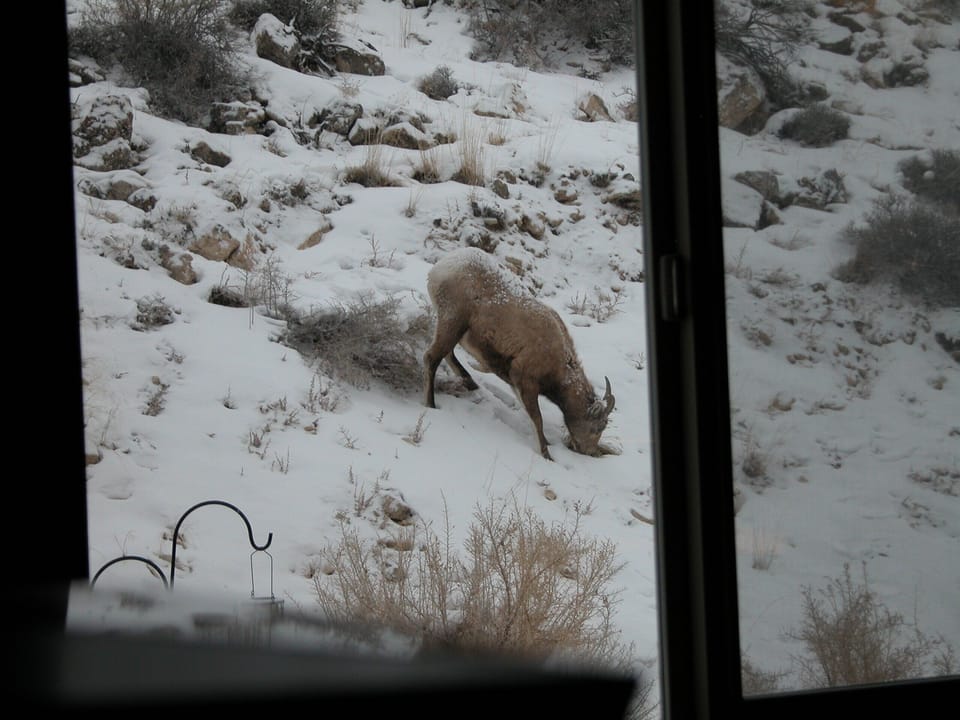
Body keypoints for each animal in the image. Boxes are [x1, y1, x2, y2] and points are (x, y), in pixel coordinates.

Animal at [423, 247, 616, 460]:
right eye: (598, 427)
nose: (590, 452)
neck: (558, 365)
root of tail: (442, 267)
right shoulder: (526, 381)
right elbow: (537, 419)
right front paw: (546, 454)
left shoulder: (516, 383)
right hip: (452, 322)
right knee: (431, 358)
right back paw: (431, 404)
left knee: (447, 355)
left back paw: (470, 383)